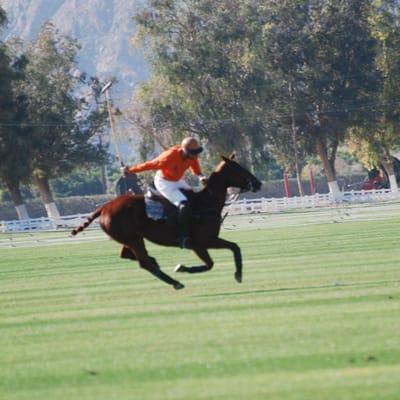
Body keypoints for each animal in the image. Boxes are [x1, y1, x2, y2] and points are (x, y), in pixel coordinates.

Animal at [70, 155, 260, 290]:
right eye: (239, 169)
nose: (258, 183)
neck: (206, 203)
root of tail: (103, 208)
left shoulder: (202, 243)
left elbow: (228, 252)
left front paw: (238, 274)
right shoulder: (202, 242)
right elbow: (222, 255)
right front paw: (183, 268)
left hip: (129, 238)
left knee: (128, 255)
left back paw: (157, 264)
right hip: (133, 239)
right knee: (143, 262)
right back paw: (175, 282)